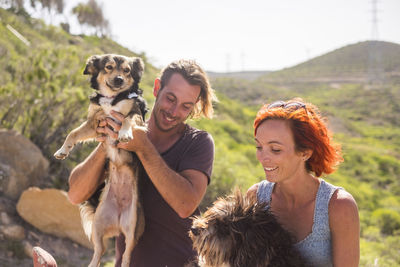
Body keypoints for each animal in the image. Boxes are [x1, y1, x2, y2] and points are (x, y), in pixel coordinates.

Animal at [53, 54, 147, 267]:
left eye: (127, 70)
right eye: (109, 67)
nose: (119, 79)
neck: (111, 99)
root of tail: (119, 222)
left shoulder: (135, 113)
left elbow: (127, 119)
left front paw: (125, 134)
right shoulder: (94, 123)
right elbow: (72, 133)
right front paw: (62, 150)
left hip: (132, 229)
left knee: (126, 256)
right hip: (97, 225)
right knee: (99, 250)